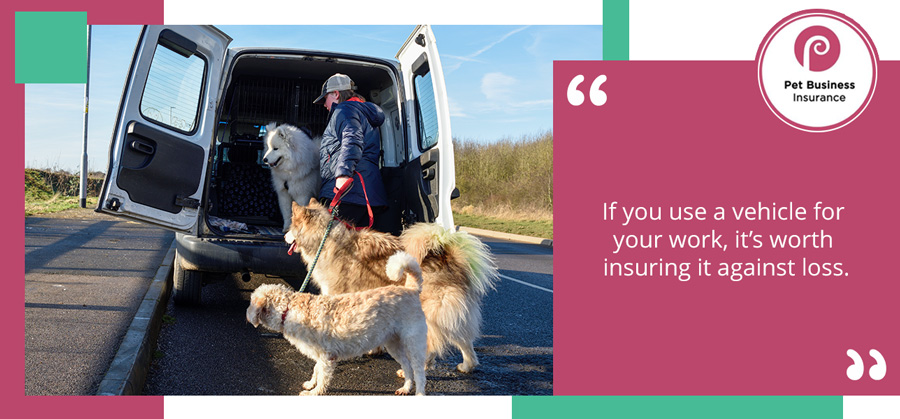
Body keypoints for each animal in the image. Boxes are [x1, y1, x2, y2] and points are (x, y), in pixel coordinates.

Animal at [246, 253, 428, 398]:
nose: (247, 316)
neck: (289, 308)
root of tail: (411, 289)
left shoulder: (327, 357)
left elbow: (322, 377)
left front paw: (314, 392)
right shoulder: (320, 355)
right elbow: (316, 370)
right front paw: (311, 384)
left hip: (414, 344)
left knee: (419, 372)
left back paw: (419, 394)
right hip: (393, 344)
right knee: (407, 366)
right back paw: (405, 388)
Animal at [284, 200, 500, 374]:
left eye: (291, 226)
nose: (284, 236)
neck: (325, 240)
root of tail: (446, 257)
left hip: (429, 314)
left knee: (430, 346)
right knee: (464, 340)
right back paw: (467, 366)